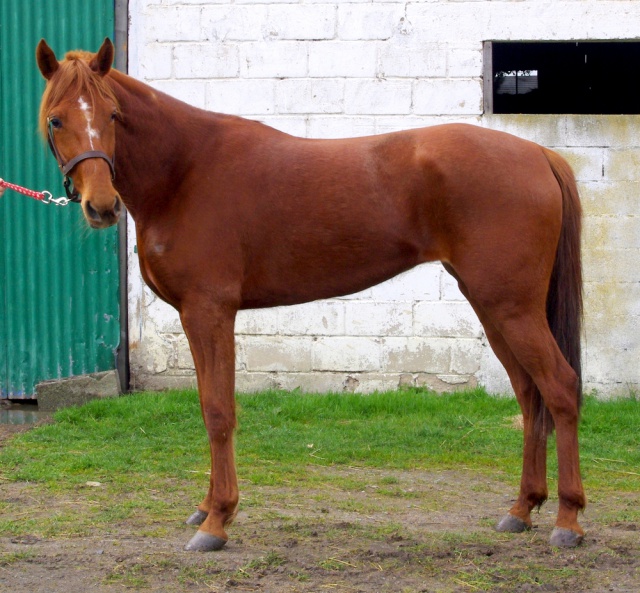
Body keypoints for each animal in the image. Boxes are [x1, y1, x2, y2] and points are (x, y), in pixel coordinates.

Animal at [35, 39, 584, 552]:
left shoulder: (210, 312)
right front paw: (207, 507)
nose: (101, 206)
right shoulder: (196, 316)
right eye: (57, 119)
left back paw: (568, 519)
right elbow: (207, 406)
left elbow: (219, 411)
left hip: (512, 308)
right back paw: (522, 508)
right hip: (493, 306)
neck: (185, 171)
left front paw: (218, 522)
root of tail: (540, 155)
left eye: (112, 115)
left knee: (559, 388)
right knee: (530, 394)